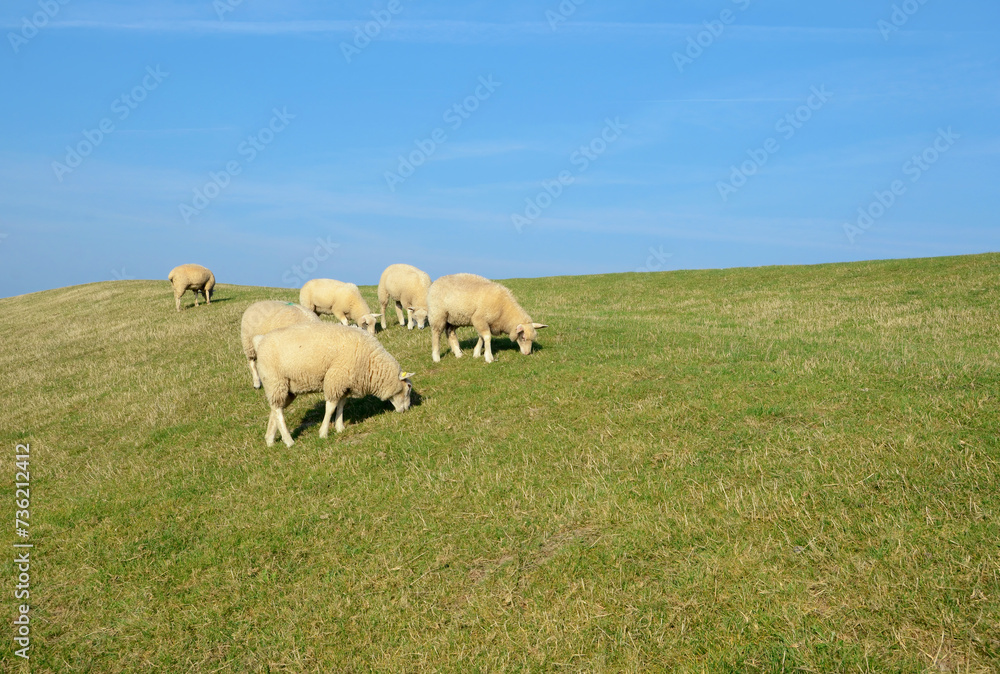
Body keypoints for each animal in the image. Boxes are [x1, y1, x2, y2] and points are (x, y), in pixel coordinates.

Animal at [253, 322, 413, 447]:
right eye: (409, 388)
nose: (407, 409)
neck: (369, 363)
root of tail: (260, 341)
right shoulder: (336, 378)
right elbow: (330, 407)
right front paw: (323, 432)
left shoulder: (344, 383)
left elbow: (341, 405)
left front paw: (340, 427)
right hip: (275, 380)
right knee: (278, 410)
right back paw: (288, 440)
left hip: (285, 387)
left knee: (275, 408)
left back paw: (270, 440)